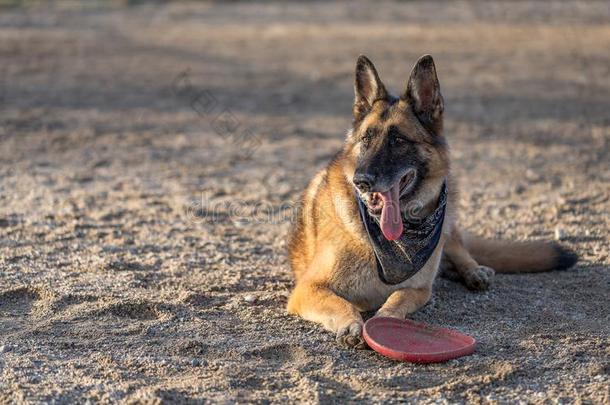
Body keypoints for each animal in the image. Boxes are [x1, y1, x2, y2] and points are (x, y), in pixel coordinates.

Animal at [284, 54, 576, 348]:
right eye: (366, 138)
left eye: (398, 140)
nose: (361, 181)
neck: (389, 242)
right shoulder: (308, 289)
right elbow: (340, 304)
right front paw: (350, 324)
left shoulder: (419, 289)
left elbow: (397, 298)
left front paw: (385, 318)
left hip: (449, 222)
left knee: (459, 249)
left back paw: (474, 272)